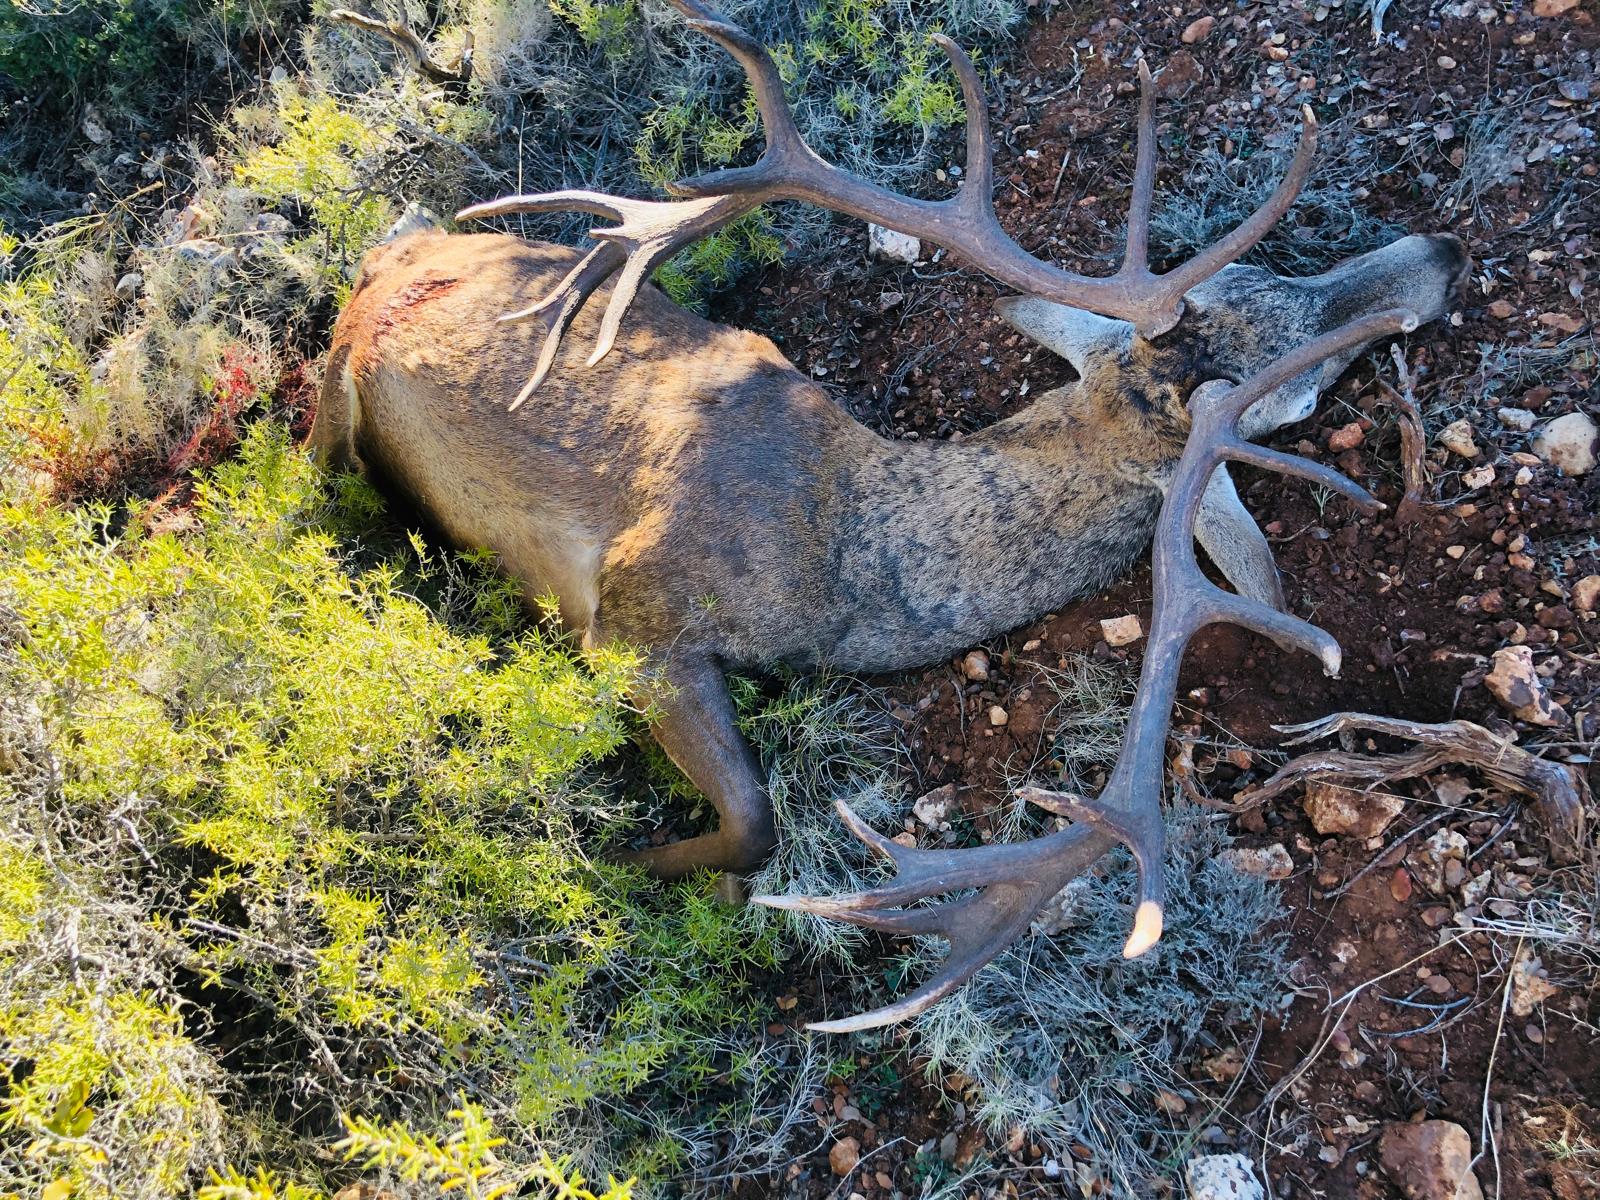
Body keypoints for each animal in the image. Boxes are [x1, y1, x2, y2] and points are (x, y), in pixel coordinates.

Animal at [315, 0, 1469, 1031]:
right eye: (1298, 397)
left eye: (1271, 272)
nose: (1436, 254)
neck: (850, 559)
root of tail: (379, 296)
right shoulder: (637, 621)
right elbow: (752, 822)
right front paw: (623, 860)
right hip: (347, 392)